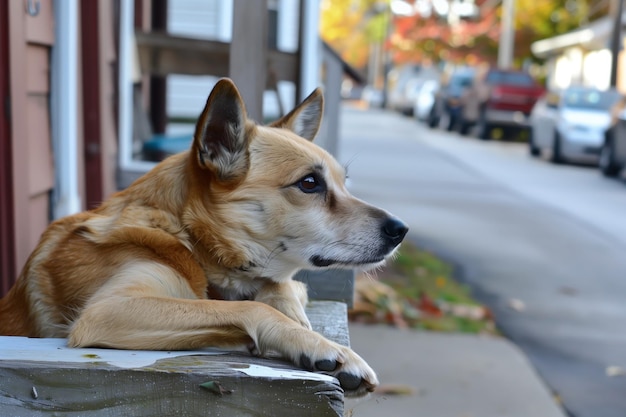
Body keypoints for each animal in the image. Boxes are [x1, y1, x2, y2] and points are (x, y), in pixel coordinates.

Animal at [0, 78, 408, 394]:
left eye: (344, 182)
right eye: (309, 183)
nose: (400, 230)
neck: (190, 240)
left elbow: (279, 288)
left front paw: (296, 317)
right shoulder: (107, 311)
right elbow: (249, 307)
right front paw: (323, 346)